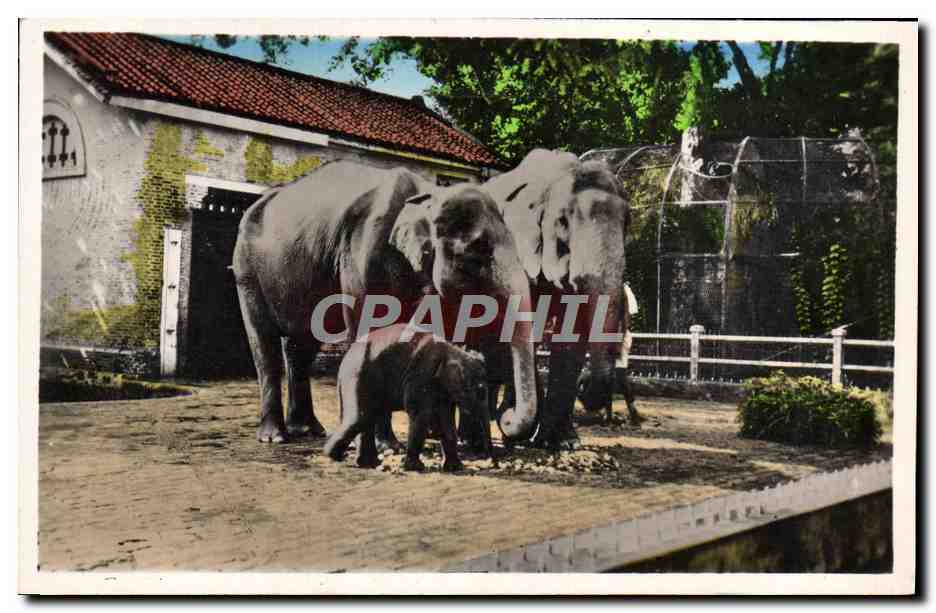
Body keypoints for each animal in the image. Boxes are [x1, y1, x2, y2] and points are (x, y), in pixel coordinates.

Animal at [232, 160, 538, 446]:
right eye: (476, 253)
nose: (506, 418)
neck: (428, 194)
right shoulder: (362, 252)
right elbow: (370, 328)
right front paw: (385, 446)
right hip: (247, 271)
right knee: (265, 344)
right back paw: (274, 436)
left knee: (301, 347)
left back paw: (309, 431)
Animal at [323, 323, 494, 472]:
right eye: (481, 392)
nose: (493, 463)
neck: (454, 351)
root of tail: (344, 359)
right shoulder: (421, 375)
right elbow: (420, 413)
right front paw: (416, 468)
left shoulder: (442, 388)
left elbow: (446, 420)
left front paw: (455, 468)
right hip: (358, 376)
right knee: (361, 417)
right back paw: (332, 456)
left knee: (366, 417)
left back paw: (366, 463)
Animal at [473, 149, 632, 450]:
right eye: (562, 222)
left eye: (627, 225)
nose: (585, 383)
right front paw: (520, 432)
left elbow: (571, 332)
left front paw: (564, 443)